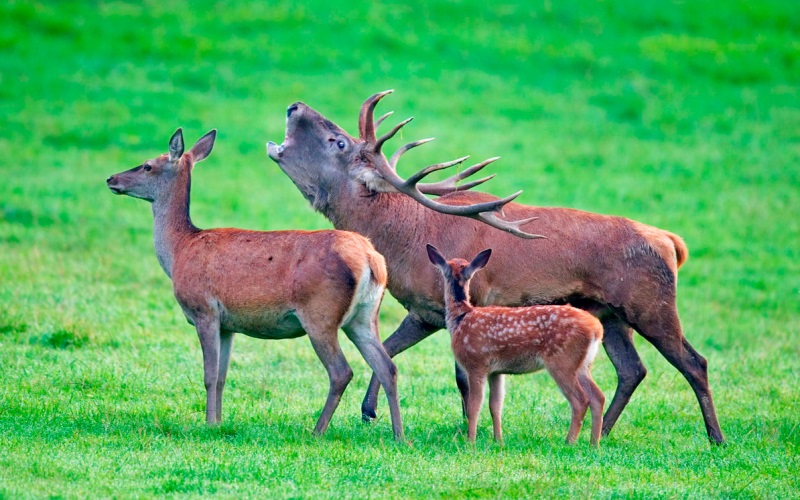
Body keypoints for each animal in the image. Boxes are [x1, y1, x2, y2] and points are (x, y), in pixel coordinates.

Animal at [105, 127, 404, 440]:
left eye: (147, 165)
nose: (111, 179)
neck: (180, 250)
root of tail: (371, 258)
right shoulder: (228, 325)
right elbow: (222, 377)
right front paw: (219, 421)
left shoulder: (204, 310)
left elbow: (209, 375)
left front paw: (208, 423)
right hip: (364, 315)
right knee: (387, 367)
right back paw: (399, 436)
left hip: (320, 313)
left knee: (341, 371)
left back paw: (317, 431)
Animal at [428, 244, 604, 444]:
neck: (461, 317)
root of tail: (596, 328)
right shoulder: (496, 371)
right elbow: (495, 405)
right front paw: (498, 440)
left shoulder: (476, 363)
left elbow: (474, 406)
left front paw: (470, 441)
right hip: (583, 364)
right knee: (598, 397)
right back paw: (594, 443)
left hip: (562, 360)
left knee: (580, 400)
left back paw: (569, 442)